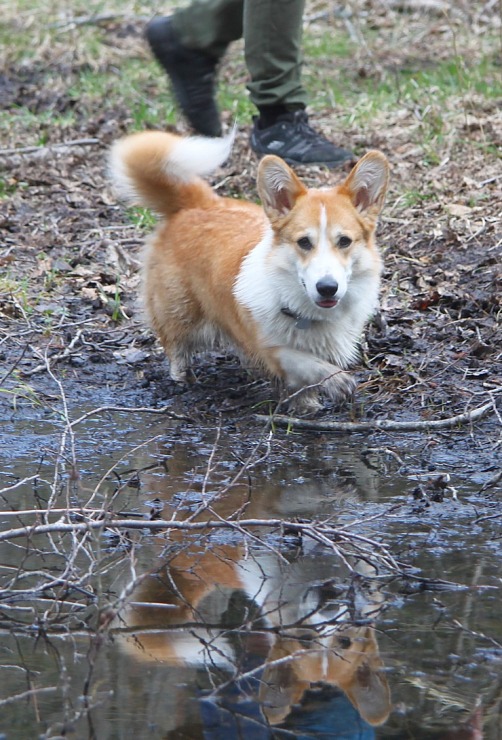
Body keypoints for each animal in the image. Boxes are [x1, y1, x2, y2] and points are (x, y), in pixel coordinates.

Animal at [110, 131, 390, 414]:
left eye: (344, 241)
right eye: (303, 242)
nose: (327, 288)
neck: (307, 312)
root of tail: (196, 203)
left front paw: (307, 405)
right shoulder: (268, 346)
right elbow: (303, 361)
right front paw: (335, 381)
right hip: (179, 310)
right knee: (175, 344)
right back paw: (183, 377)